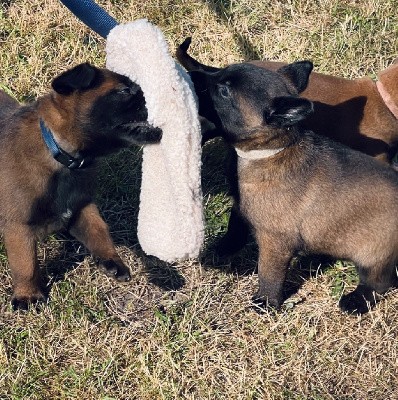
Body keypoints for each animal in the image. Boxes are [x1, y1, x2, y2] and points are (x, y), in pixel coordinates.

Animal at [0, 62, 162, 310]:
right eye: (125, 91)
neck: (61, 154)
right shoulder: (19, 225)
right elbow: (25, 263)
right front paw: (28, 295)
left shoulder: (81, 207)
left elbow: (99, 230)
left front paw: (111, 260)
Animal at [188, 61, 398, 314]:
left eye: (224, 91)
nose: (190, 75)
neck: (271, 151)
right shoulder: (243, 207)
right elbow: (235, 225)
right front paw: (224, 248)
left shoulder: (275, 242)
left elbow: (269, 274)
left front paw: (266, 303)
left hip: (373, 255)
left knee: (380, 283)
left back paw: (355, 302)